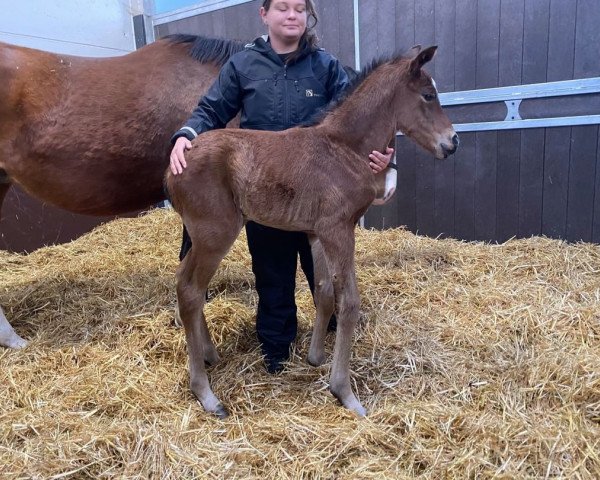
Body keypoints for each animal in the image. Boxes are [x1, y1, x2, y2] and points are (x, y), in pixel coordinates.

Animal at [166, 47, 458, 418]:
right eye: (428, 96)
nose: (453, 142)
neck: (344, 148)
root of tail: (174, 165)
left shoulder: (317, 233)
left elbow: (324, 291)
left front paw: (316, 358)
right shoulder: (339, 229)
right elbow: (349, 301)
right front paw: (344, 392)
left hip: (200, 236)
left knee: (182, 280)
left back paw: (209, 354)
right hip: (215, 234)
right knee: (191, 290)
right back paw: (206, 394)